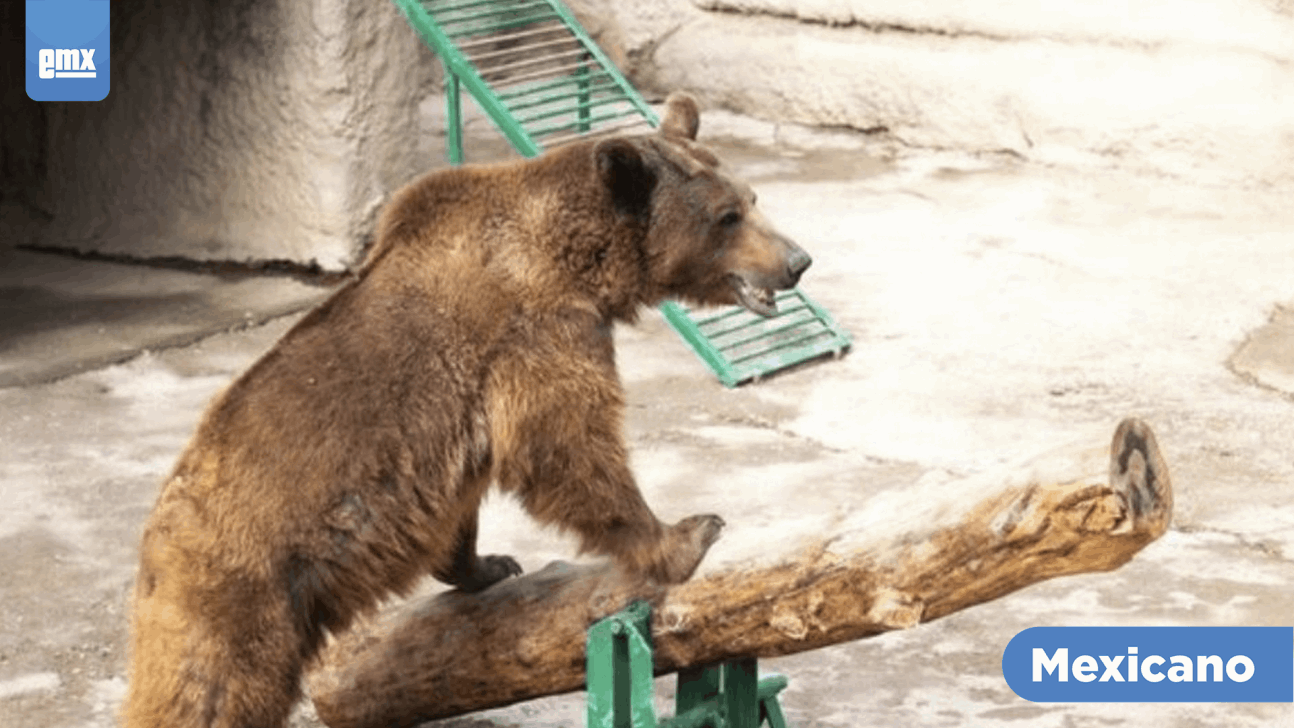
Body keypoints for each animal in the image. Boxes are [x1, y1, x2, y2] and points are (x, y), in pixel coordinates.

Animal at [122, 92, 812, 728]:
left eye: (752, 197)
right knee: (208, 695)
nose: (797, 261)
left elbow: (469, 499)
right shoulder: (536, 332)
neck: (577, 260)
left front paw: (490, 564)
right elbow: (567, 447)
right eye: (727, 216)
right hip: (239, 594)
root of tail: (154, 541)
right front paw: (687, 533)